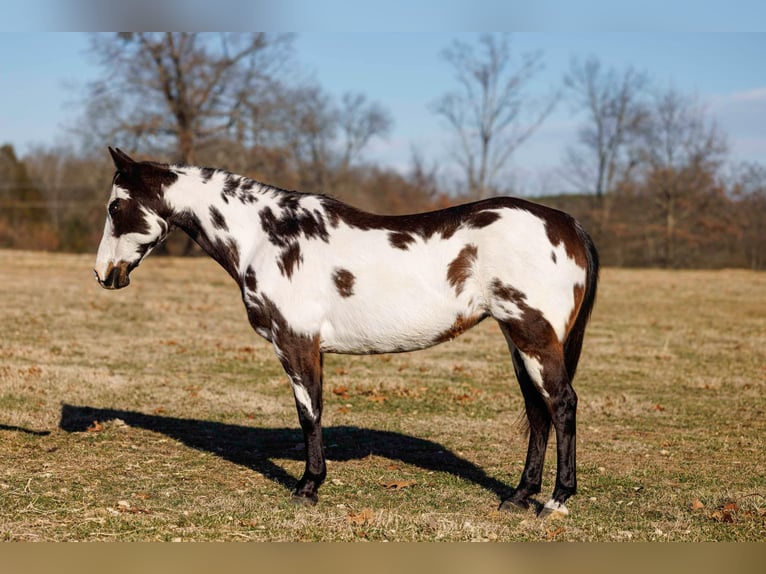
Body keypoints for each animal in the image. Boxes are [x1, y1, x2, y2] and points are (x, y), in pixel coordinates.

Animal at [94, 147, 599, 518]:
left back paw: (556, 501)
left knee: (561, 404)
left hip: (532, 334)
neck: (265, 236)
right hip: (519, 342)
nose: (104, 274)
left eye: (115, 207)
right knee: (538, 412)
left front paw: (308, 487)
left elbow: (309, 414)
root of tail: (567, 223)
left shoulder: (296, 341)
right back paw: (518, 497)